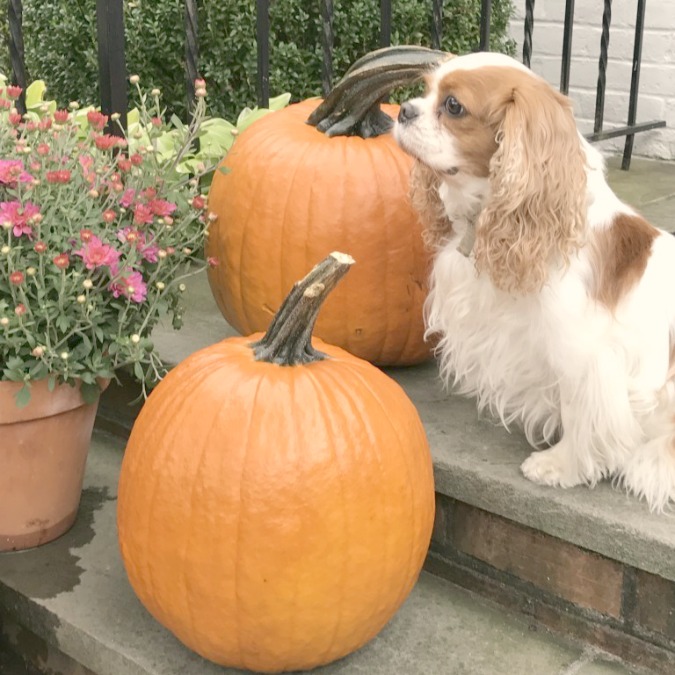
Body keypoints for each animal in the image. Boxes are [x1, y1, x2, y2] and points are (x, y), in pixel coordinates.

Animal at [394, 50, 675, 510]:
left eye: (453, 106)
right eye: (425, 89)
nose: (403, 110)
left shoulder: (585, 353)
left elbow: (581, 412)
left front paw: (560, 465)